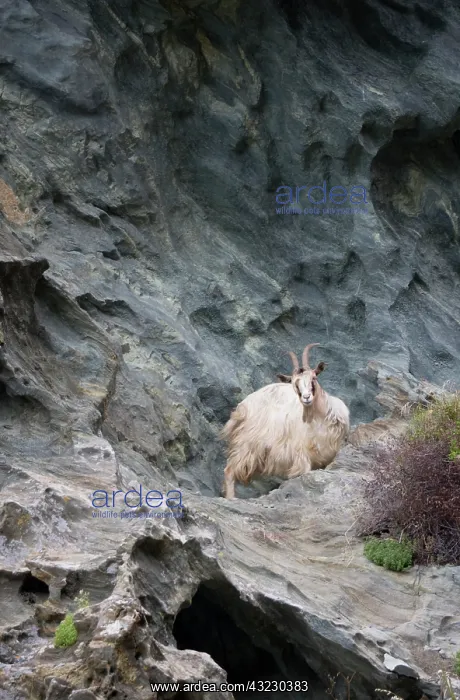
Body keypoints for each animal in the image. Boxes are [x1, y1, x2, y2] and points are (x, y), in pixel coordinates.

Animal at [221, 343, 350, 499]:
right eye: (295, 384)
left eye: (313, 378)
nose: (306, 398)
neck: (320, 420)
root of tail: (242, 408)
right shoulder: (301, 453)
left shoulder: (328, 454)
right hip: (245, 443)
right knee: (229, 470)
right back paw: (231, 498)